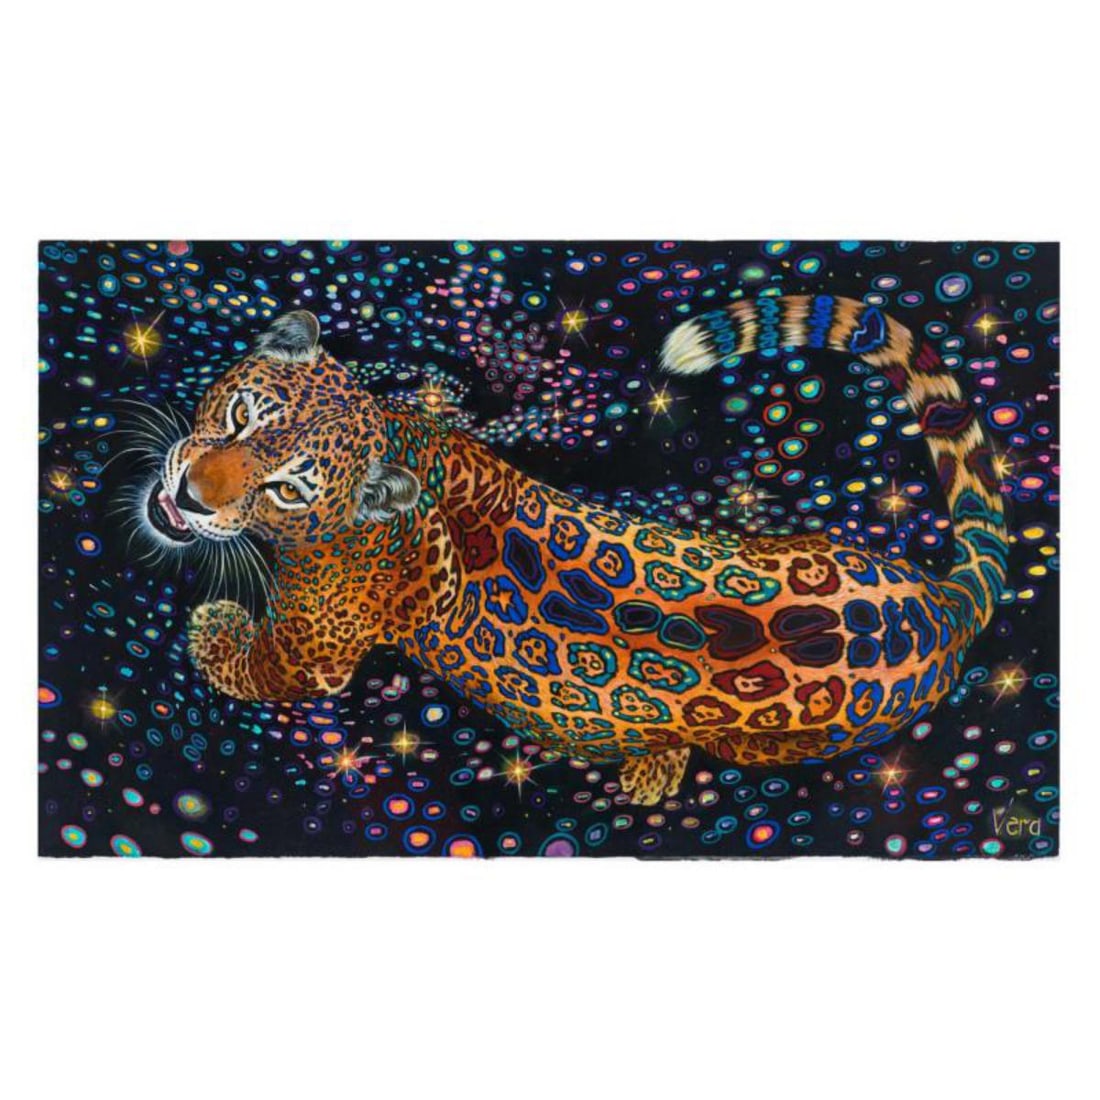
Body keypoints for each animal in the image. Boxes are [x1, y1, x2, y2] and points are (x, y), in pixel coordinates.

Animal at [145, 297, 1007, 805]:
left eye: (288, 488)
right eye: (240, 414)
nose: (189, 492)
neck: (404, 450)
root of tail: (945, 602)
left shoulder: (314, 646)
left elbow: (258, 666)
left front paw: (212, 628)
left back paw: (651, 771)